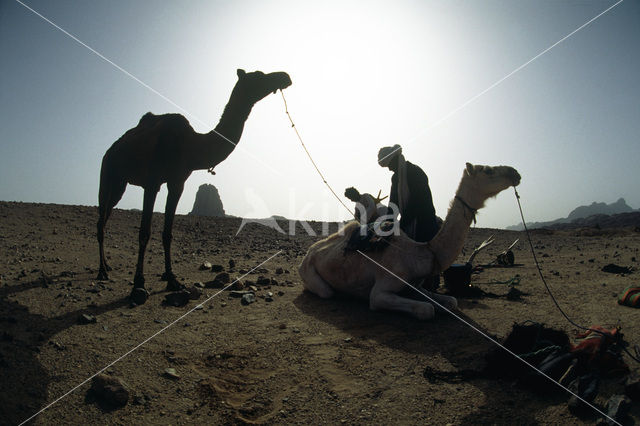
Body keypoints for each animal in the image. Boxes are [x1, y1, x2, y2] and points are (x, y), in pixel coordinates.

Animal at [97, 68, 292, 302]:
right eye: (259, 76)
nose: (285, 76)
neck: (191, 146)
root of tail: (110, 149)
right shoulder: (152, 182)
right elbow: (144, 232)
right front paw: (139, 283)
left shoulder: (177, 182)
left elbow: (168, 233)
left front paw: (172, 279)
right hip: (108, 173)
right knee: (101, 220)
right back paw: (102, 271)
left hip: (120, 184)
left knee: (105, 216)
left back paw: (107, 266)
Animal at [298, 163, 520, 320]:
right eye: (488, 170)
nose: (515, 173)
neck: (421, 253)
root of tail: (309, 252)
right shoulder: (380, 293)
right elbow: (426, 310)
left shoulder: (415, 286)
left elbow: (452, 301)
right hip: (311, 275)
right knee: (326, 291)